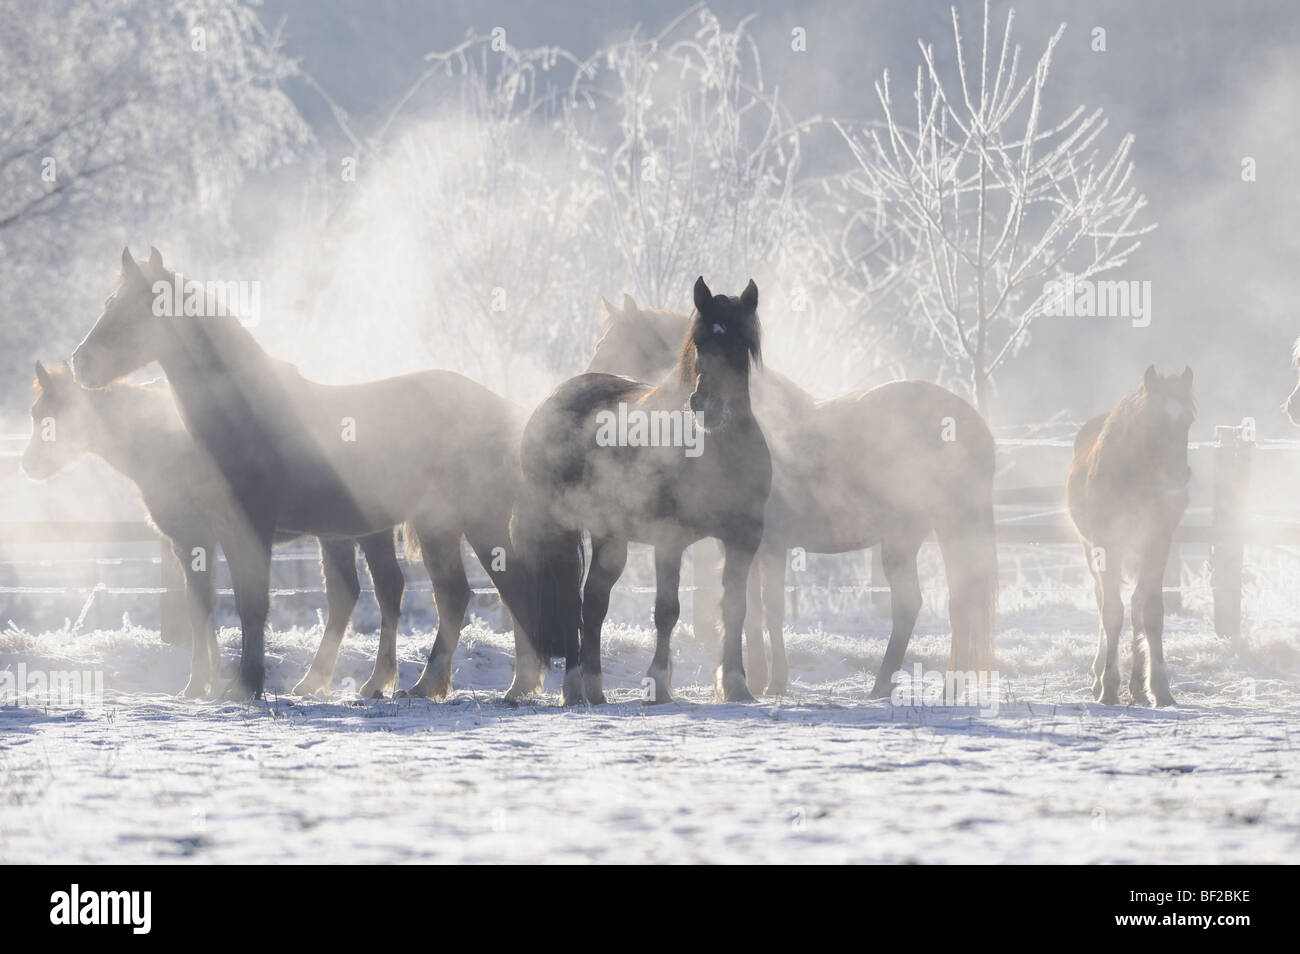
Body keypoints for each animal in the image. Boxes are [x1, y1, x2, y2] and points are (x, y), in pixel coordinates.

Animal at [22, 361, 408, 696]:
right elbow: (202, 606)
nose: (29, 465)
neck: (167, 444)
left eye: (53, 414)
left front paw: (201, 682)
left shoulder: (194, 537)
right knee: (348, 595)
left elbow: (206, 607)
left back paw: (376, 682)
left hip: (368, 531)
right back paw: (319, 681)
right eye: (35, 413)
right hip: (338, 535)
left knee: (386, 589)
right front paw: (207, 679)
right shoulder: (196, 542)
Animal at [69, 250, 538, 707]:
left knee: (505, 587)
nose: (80, 362)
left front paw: (246, 685)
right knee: (458, 595)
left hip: (472, 521)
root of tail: (505, 410)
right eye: (109, 303)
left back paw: (511, 686)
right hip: (437, 526)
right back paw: (435, 685)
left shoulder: (249, 529)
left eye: (136, 311)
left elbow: (252, 605)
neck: (244, 414)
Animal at [509, 280, 769, 707]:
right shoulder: (669, 539)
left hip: (610, 538)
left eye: (740, 342)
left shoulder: (743, 538)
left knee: (594, 603)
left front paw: (735, 684)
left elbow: (735, 608)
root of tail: (553, 399)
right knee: (571, 603)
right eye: (699, 341)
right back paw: (574, 687)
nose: (707, 406)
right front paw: (658, 683)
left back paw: (596, 689)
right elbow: (667, 611)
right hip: (561, 529)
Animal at [585, 295, 998, 696]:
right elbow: (755, 608)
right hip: (929, 534)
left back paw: (900, 686)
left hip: (925, 534)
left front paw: (767, 679)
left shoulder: (765, 543)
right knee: (947, 603)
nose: (590, 387)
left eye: (613, 343)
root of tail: (972, 422)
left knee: (928, 604)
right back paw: (935, 687)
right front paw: (759, 677)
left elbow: (766, 608)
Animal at [1071, 366, 1190, 712]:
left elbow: (1150, 612)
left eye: (1189, 420)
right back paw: (1100, 677)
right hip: (1091, 550)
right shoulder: (1106, 545)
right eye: (1154, 420)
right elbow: (1111, 612)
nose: (1179, 477)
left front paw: (1160, 689)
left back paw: (1137, 686)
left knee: (1136, 607)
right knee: (1103, 601)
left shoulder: (1157, 543)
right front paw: (1108, 686)